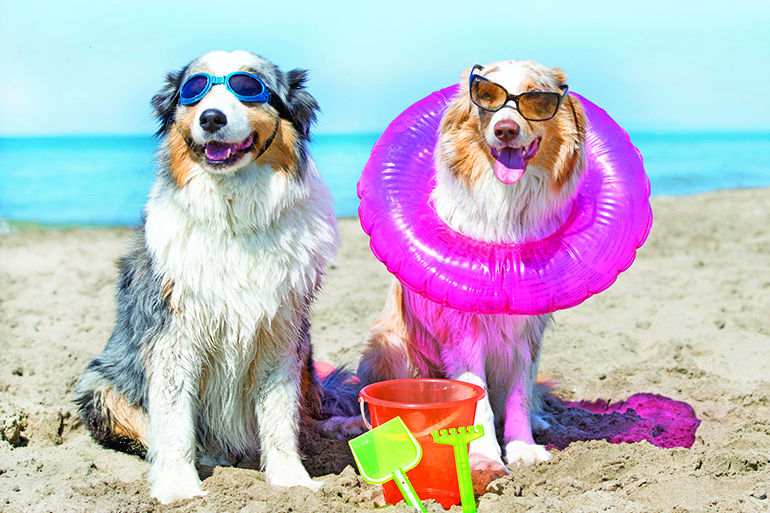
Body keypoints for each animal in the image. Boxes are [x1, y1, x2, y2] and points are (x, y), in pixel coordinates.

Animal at [72, 51, 354, 500]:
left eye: (248, 86)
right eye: (194, 89)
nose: (211, 118)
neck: (233, 214)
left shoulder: (280, 330)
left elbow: (280, 415)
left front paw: (291, 479)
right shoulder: (172, 334)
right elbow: (172, 421)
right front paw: (177, 487)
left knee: (313, 409)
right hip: (100, 383)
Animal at [356, 60, 584, 480]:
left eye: (536, 98)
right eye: (487, 97)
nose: (506, 129)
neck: (507, 205)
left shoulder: (528, 329)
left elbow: (519, 393)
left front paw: (524, 448)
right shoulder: (461, 329)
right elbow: (476, 398)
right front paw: (483, 458)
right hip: (390, 346)